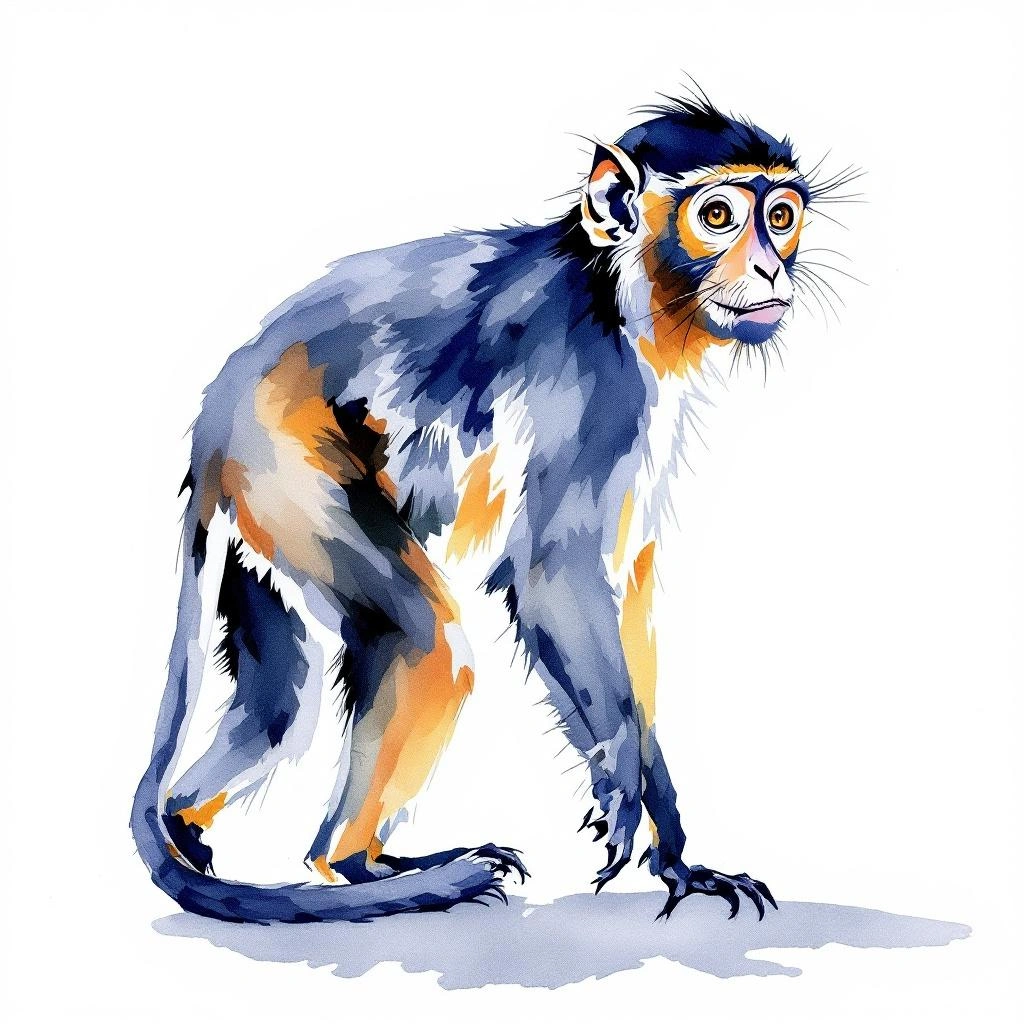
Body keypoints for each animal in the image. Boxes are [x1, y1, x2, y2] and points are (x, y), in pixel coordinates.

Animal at [131, 90, 832, 924]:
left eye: (781, 217)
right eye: (719, 215)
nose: (769, 266)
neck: (619, 294)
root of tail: (211, 425)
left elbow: (627, 594)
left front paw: (678, 856)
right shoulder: (597, 382)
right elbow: (554, 578)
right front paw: (625, 790)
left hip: (255, 510)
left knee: (278, 704)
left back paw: (208, 827)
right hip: (276, 461)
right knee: (419, 637)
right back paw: (356, 865)